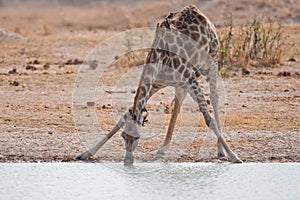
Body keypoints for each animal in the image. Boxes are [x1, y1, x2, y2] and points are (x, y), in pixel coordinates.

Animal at [77, 5, 241, 166]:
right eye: (123, 136)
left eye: (137, 137)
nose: (128, 162)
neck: (160, 59)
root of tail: (197, 10)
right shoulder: (156, 84)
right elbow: (123, 116)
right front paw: (86, 153)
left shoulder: (190, 79)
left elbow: (209, 119)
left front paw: (234, 156)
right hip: (182, 82)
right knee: (179, 101)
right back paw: (162, 149)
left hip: (212, 59)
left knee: (214, 97)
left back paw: (221, 151)